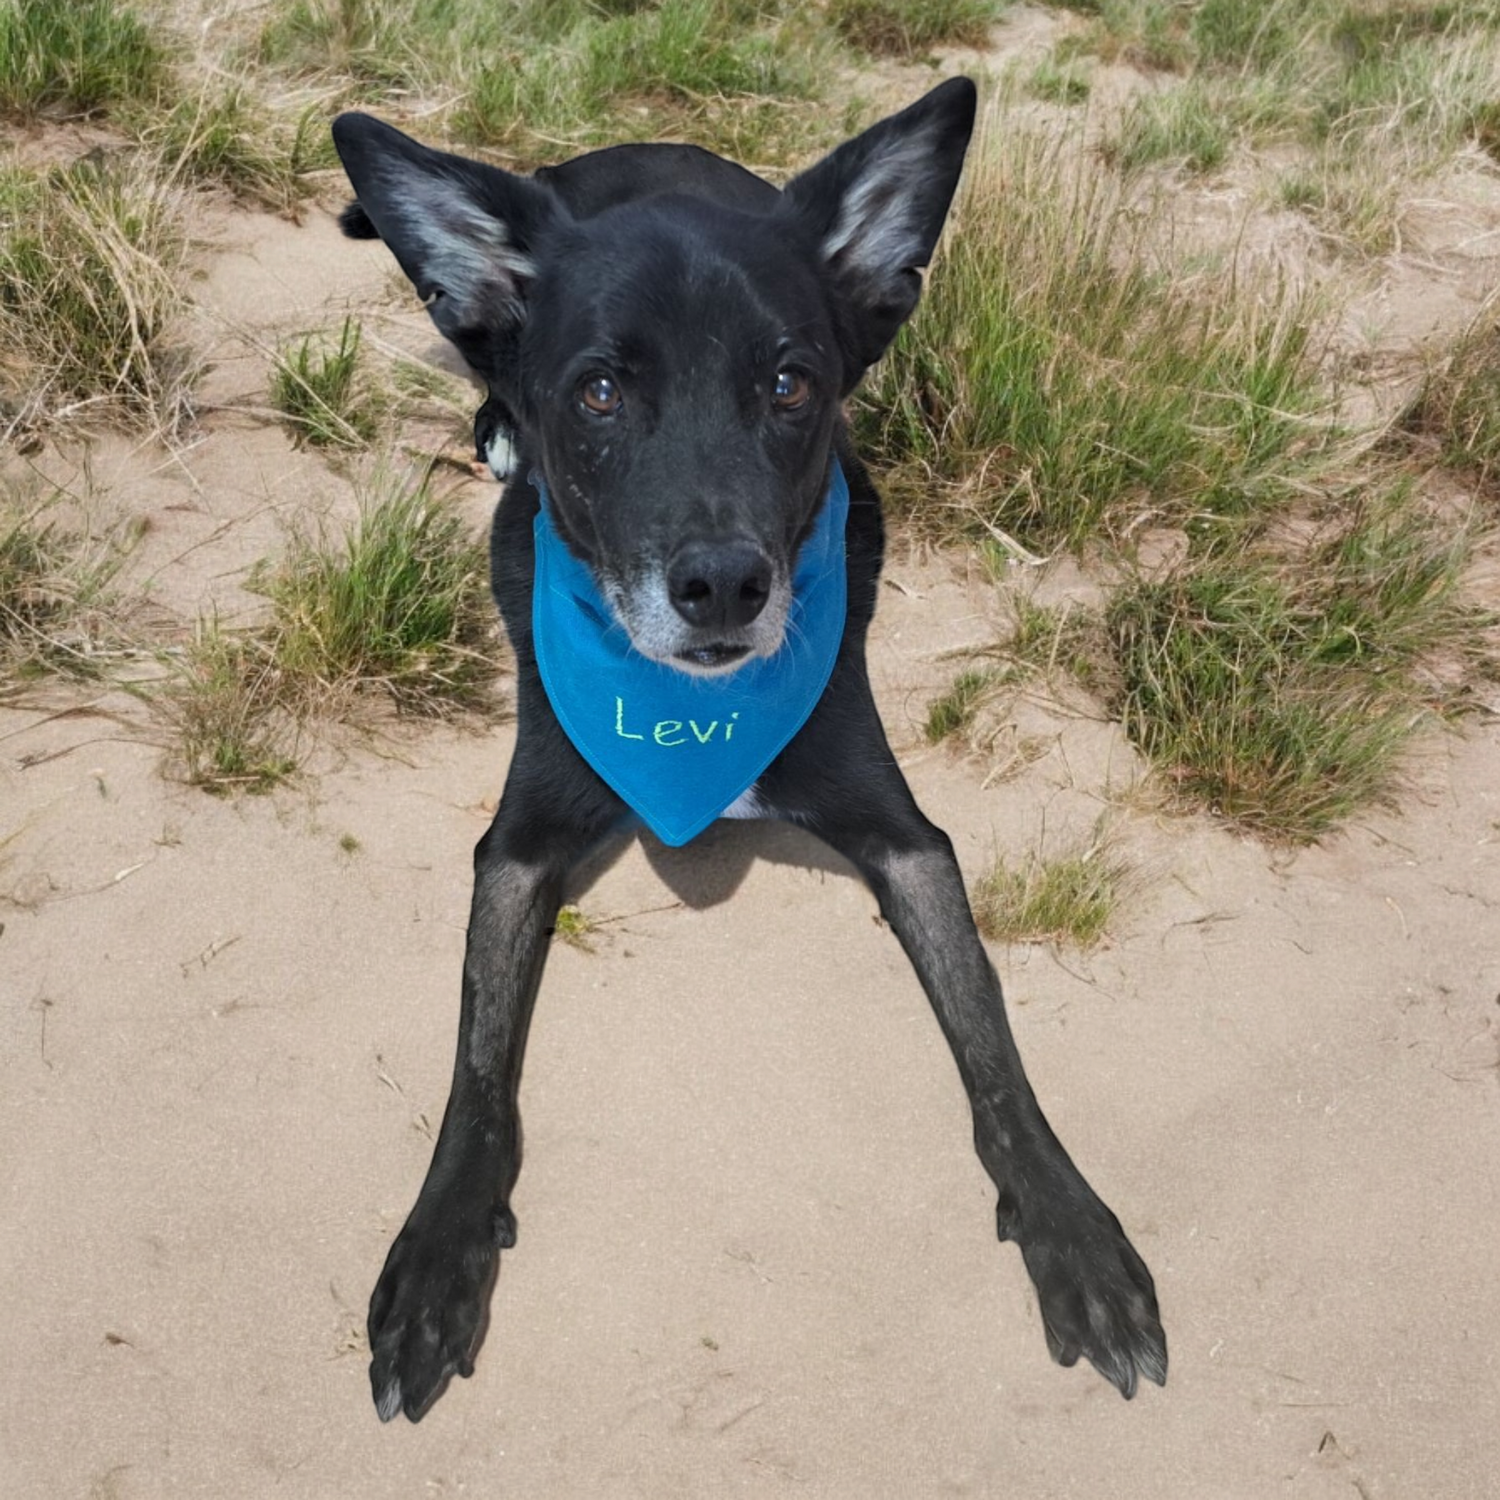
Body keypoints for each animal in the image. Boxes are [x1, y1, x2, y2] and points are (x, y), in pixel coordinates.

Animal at [334, 79, 1164, 1416]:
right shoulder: (518, 845)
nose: (724, 587)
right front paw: (437, 1255)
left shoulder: (906, 836)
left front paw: (1073, 1227)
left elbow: (992, 1049)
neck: (691, 720)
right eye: (599, 392)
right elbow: (475, 1074)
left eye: (790, 384)